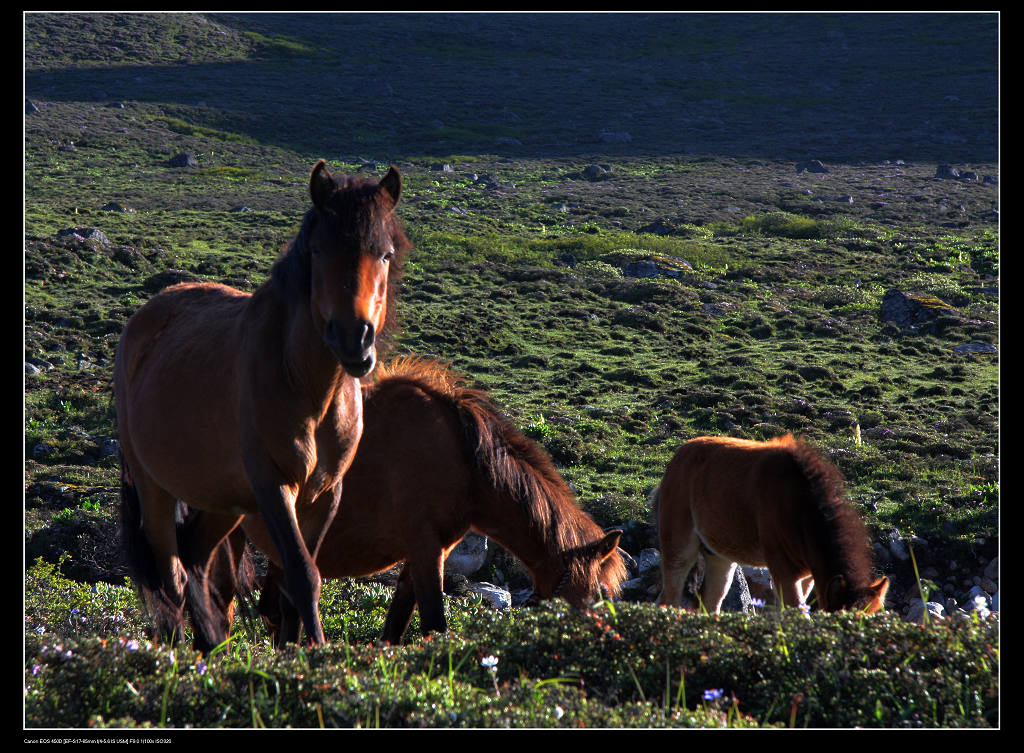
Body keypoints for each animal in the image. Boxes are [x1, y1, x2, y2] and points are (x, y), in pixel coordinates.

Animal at [115, 161, 407, 651]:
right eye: (318, 250)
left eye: (384, 254)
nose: (355, 340)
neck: (309, 387)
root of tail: (142, 322)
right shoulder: (274, 485)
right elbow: (303, 575)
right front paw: (316, 650)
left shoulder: (325, 494)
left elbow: (294, 581)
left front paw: (297, 648)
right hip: (155, 488)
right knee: (170, 577)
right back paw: (179, 650)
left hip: (224, 501)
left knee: (195, 559)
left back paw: (212, 643)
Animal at [212, 358, 626, 647]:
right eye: (595, 597)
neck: (463, 461)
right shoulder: (427, 551)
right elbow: (434, 626)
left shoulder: (423, 554)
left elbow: (394, 630)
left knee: (275, 609)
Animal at [655, 432, 888, 614]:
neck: (799, 505)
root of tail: (677, 456)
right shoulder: (783, 569)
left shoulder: (807, 577)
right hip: (679, 549)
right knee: (670, 599)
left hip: (720, 558)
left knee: (709, 602)